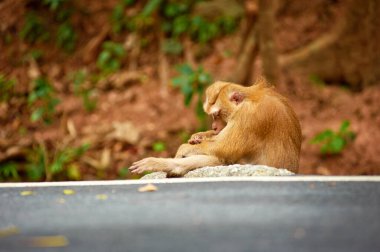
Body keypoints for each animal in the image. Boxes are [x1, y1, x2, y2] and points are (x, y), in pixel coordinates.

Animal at [131, 78, 302, 175]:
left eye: (217, 114)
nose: (214, 126)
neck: (251, 99)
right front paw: (199, 136)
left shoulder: (249, 117)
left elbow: (224, 148)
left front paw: (185, 147)